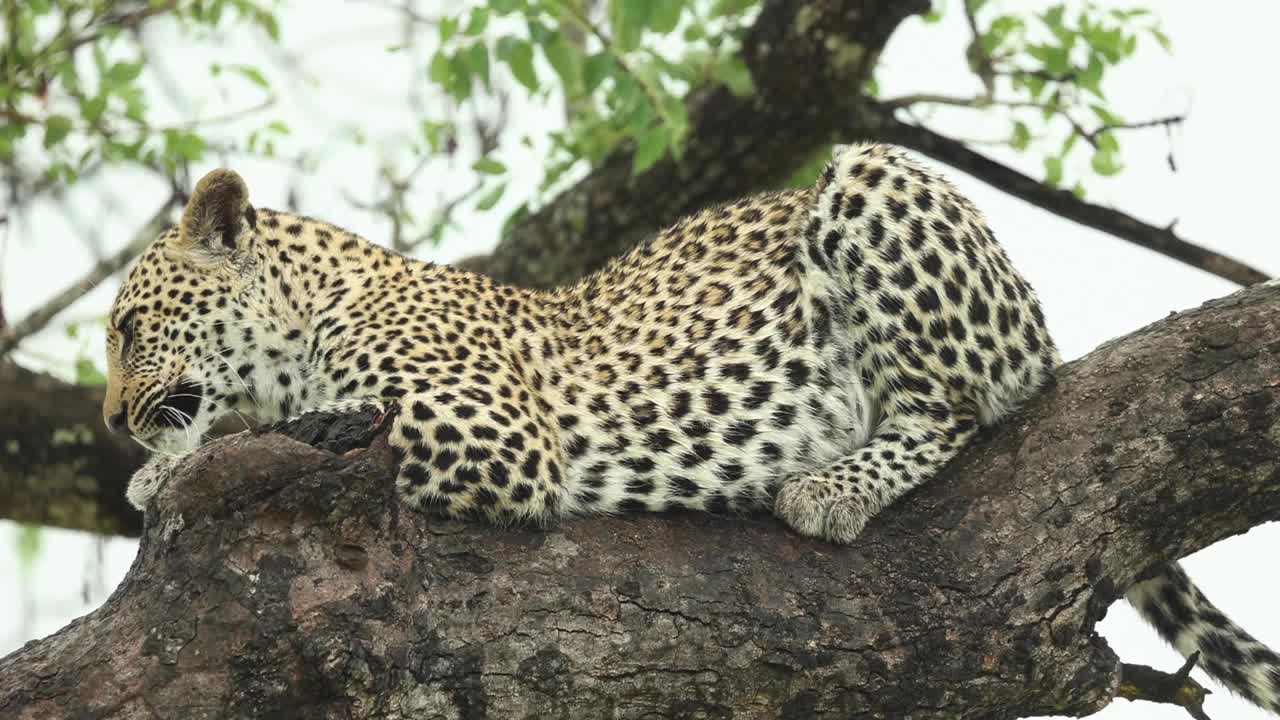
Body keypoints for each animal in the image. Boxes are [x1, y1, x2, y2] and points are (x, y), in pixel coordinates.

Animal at [102, 143, 1280, 714]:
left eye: (126, 328)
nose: (111, 421)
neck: (315, 305)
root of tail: (1043, 322)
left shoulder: (489, 434)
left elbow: (281, 428)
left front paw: (161, 475)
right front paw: (158, 471)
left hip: (871, 181)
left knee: (957, 406)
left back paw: (828, 486)